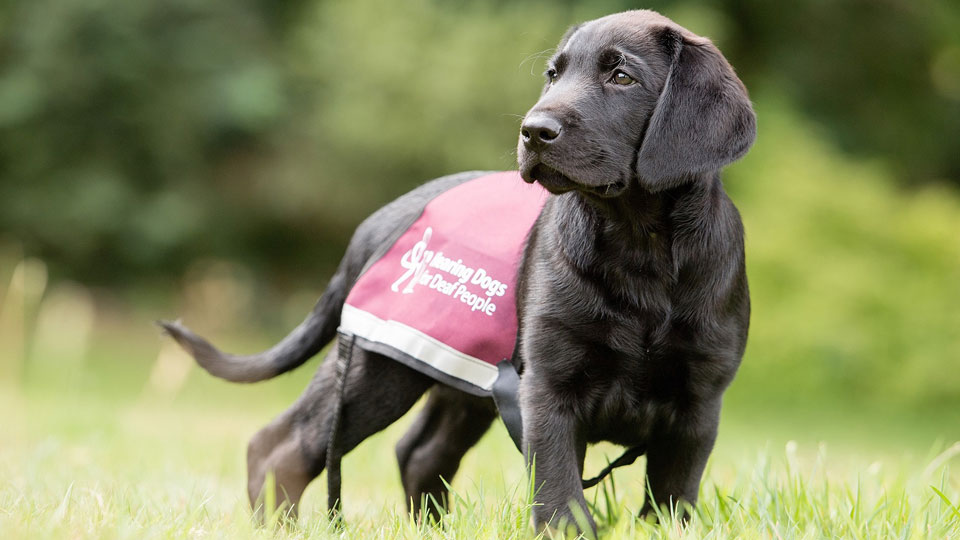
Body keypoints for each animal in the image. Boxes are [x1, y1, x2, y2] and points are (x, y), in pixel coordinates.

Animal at [159, 9, 756, 536]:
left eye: (622, 76)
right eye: (553, 74)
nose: (533, 130)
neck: (639, 248)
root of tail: (375, 224)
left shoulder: (698, 404)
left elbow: (671, 501)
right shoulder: (548, 387)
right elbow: (560, 493)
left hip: (462, 378)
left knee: (418, 452)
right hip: (377, 366)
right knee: (279, 446)